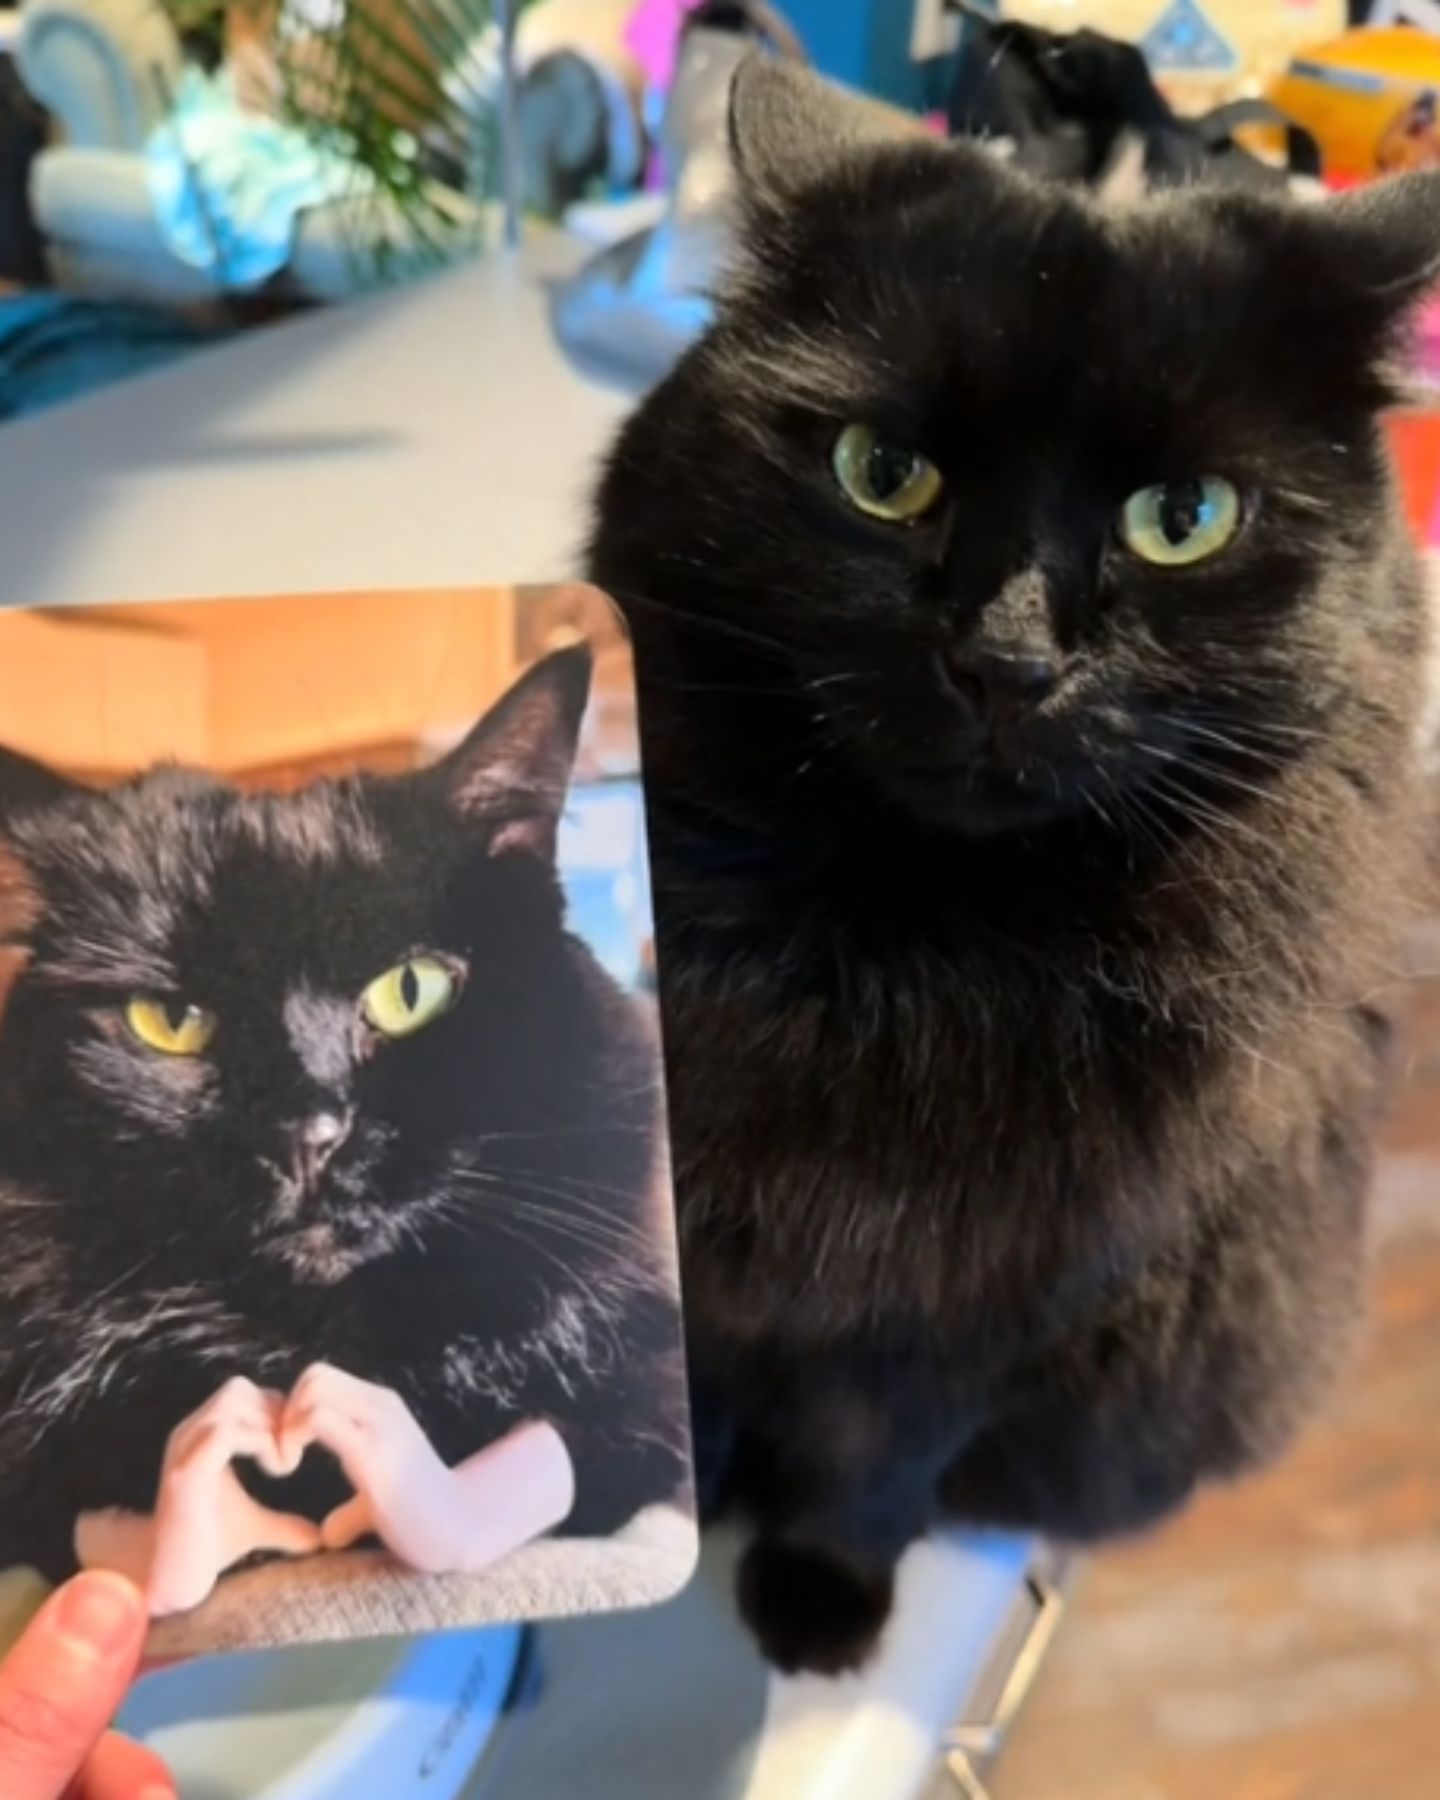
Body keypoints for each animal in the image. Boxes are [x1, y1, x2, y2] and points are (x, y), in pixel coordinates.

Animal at [590, 63, 1432, 1677]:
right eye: (881, 474)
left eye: (1184, 519)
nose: (1008, 659)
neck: (902, 963)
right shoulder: (703, 1259)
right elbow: (701, 1394)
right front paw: (669, 1508)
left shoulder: (982, 1312)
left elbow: (868, 1463)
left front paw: (818, 1603)